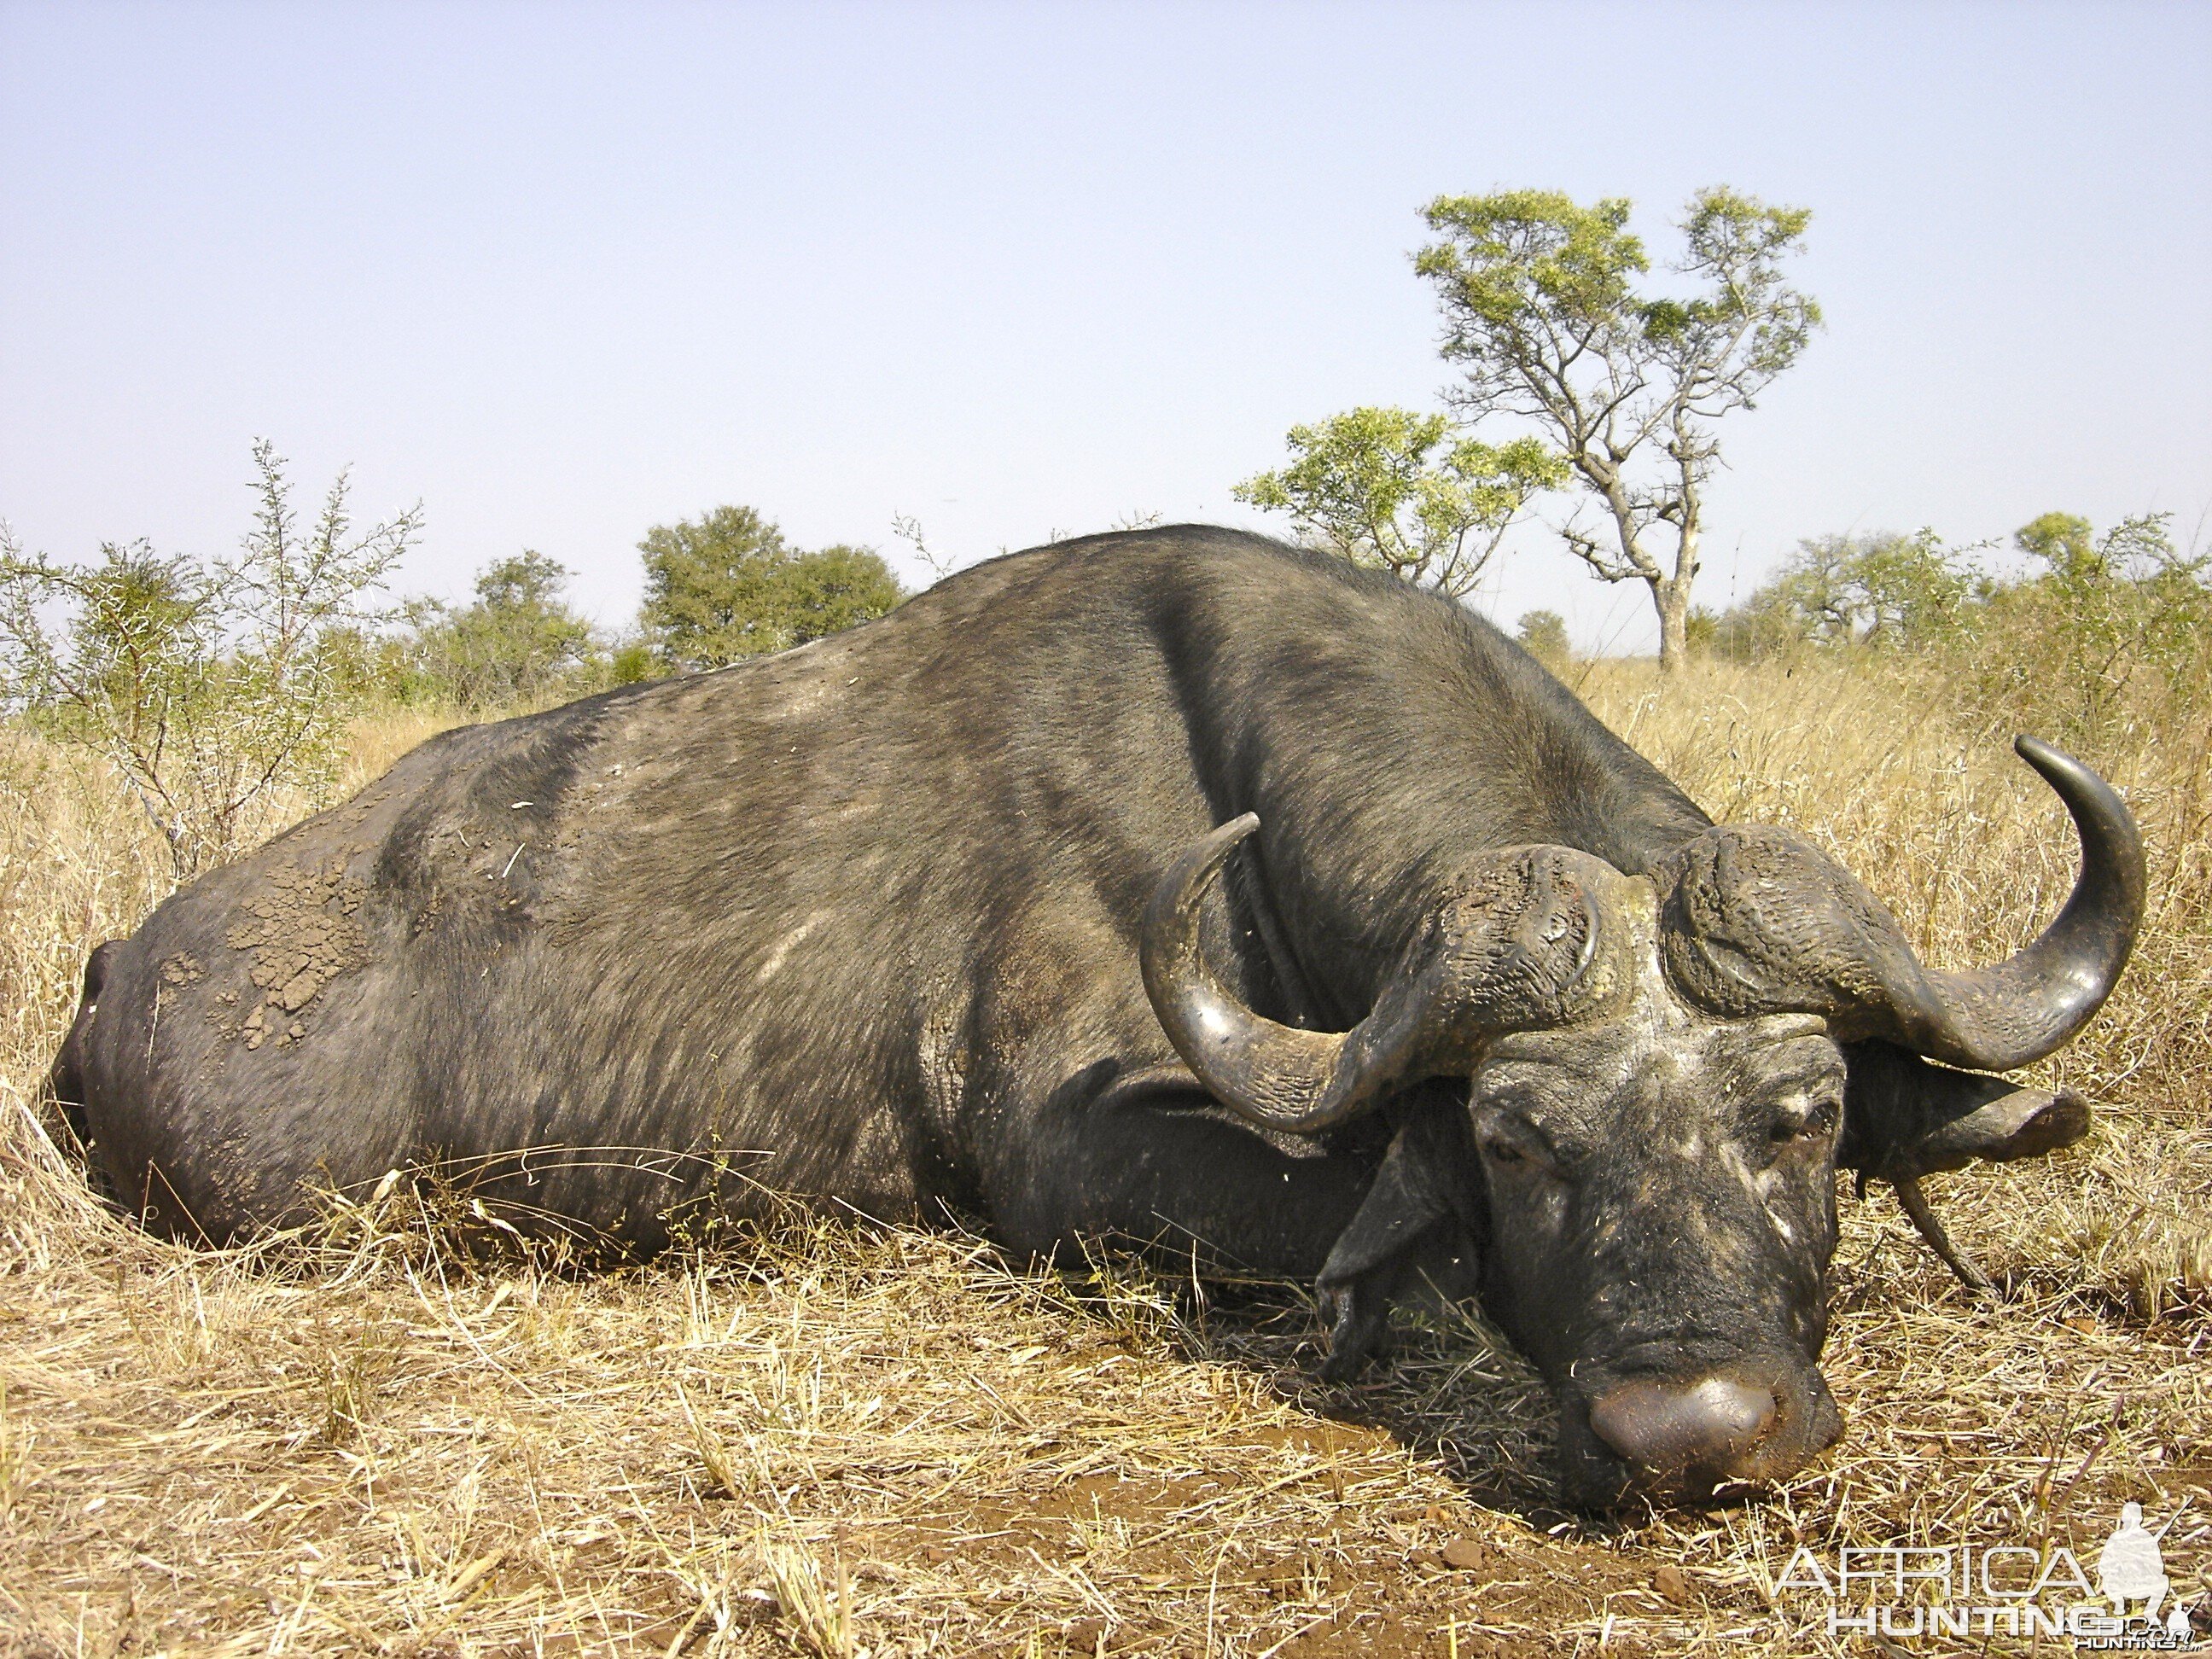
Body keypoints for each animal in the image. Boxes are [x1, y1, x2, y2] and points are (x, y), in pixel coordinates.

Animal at [51, 526, 2132, 1512]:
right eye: (1517, 1143)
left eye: (1802, 1117)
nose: (1691, 1424)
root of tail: (123, 961)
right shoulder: (1080, 1160)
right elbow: (1382, 1237)